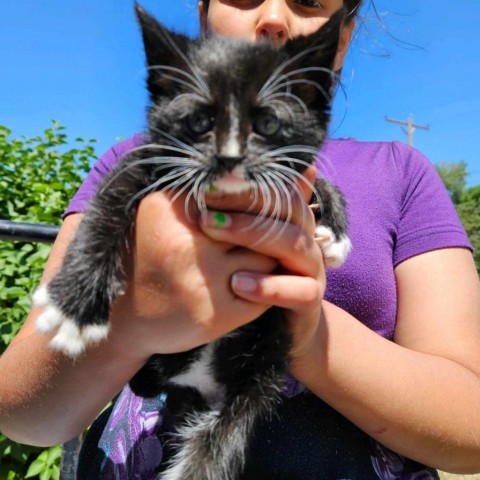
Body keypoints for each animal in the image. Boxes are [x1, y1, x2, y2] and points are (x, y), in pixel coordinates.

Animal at [32, 4, 348, 480]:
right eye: (199, 121)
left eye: (268, 123)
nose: (230, 158)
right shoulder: (146, 159)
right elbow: (109, 198)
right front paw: (76, 304)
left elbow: (315, 178)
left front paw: (336, 229)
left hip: (261, 369)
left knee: (216, 441)